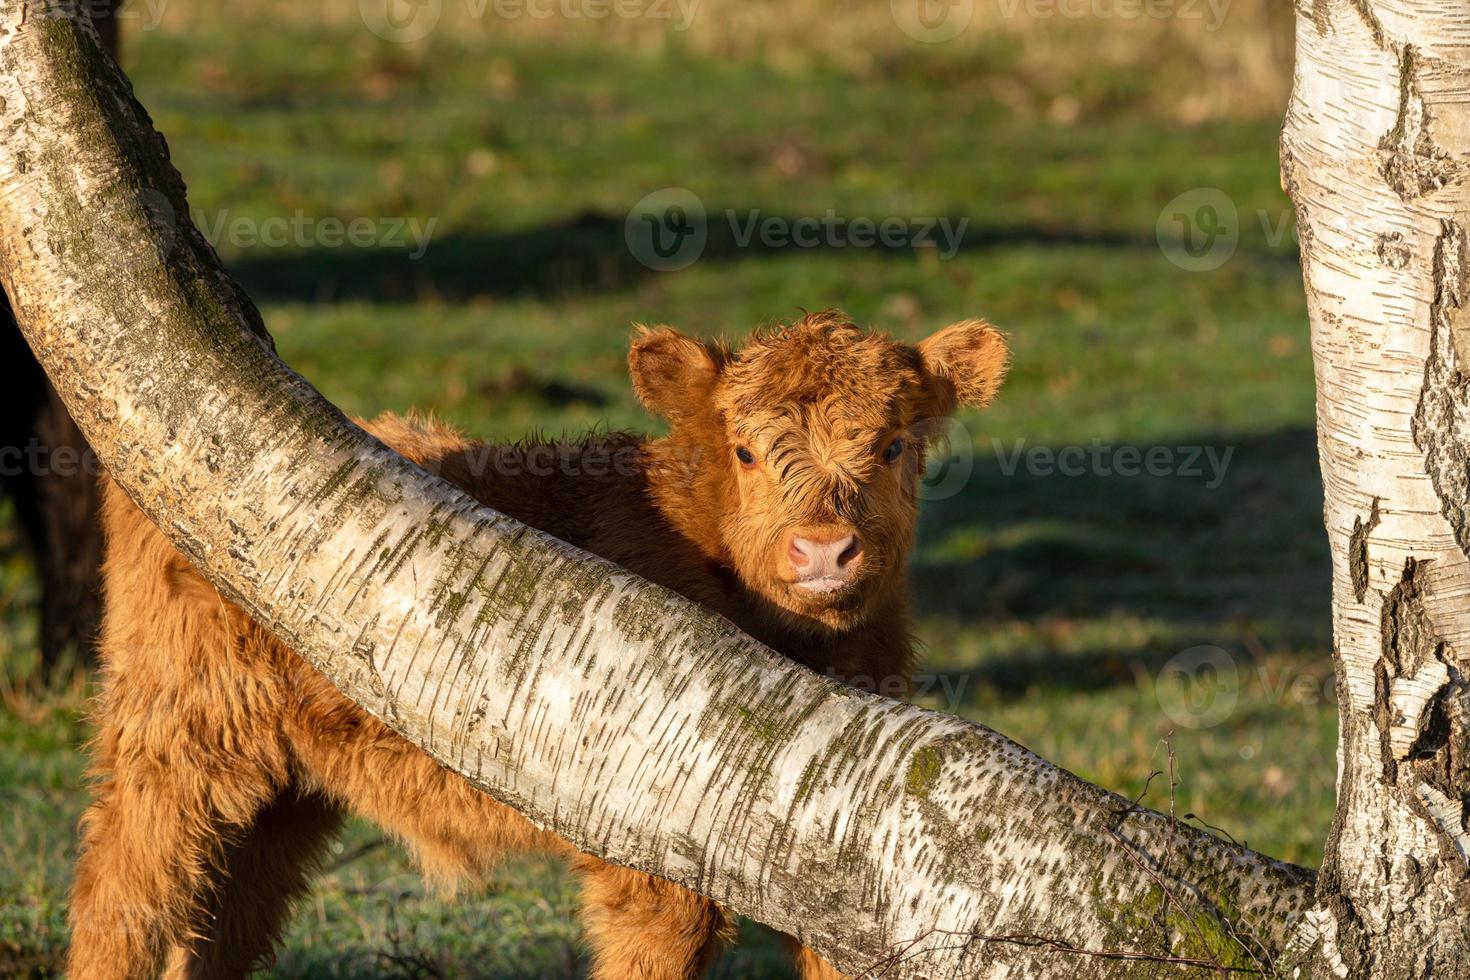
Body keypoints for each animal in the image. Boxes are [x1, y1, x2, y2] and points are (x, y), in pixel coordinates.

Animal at [69, 310, 1011, 975]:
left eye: (894, 445)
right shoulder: (653, 861)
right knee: (125, 903)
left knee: (222, 926)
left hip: (285, 789)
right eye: (745, 450)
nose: (822, 550)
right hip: (172, 741)